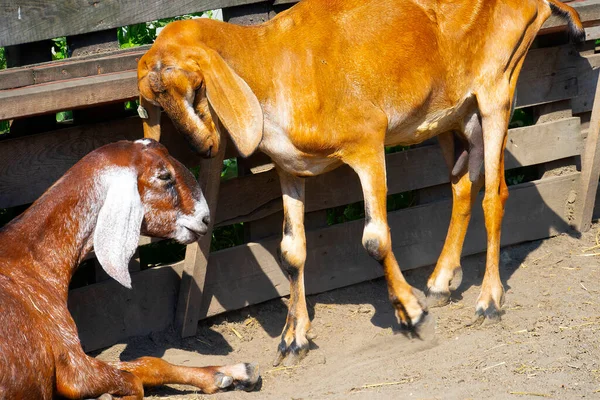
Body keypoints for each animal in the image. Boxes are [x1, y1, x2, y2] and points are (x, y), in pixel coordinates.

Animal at [0, 139, 258, 398]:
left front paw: (230, 372)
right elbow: (134, 382)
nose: (205, 219)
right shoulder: (75, 368)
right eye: (164, 175)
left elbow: (148, 363)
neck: (33, 260)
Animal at [136, 0, 580, 366]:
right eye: (156, 103)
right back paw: (440, 284)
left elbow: (375, 239)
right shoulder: (290, 170)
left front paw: (411, 313)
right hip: (453, 116)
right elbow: (291, 251)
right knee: (462, 188)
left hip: (497, 91)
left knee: (495, 193)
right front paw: (293, 339)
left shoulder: (368, 143)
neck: (272, 64)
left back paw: (488, 301)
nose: (205, 147)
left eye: (196, 86)